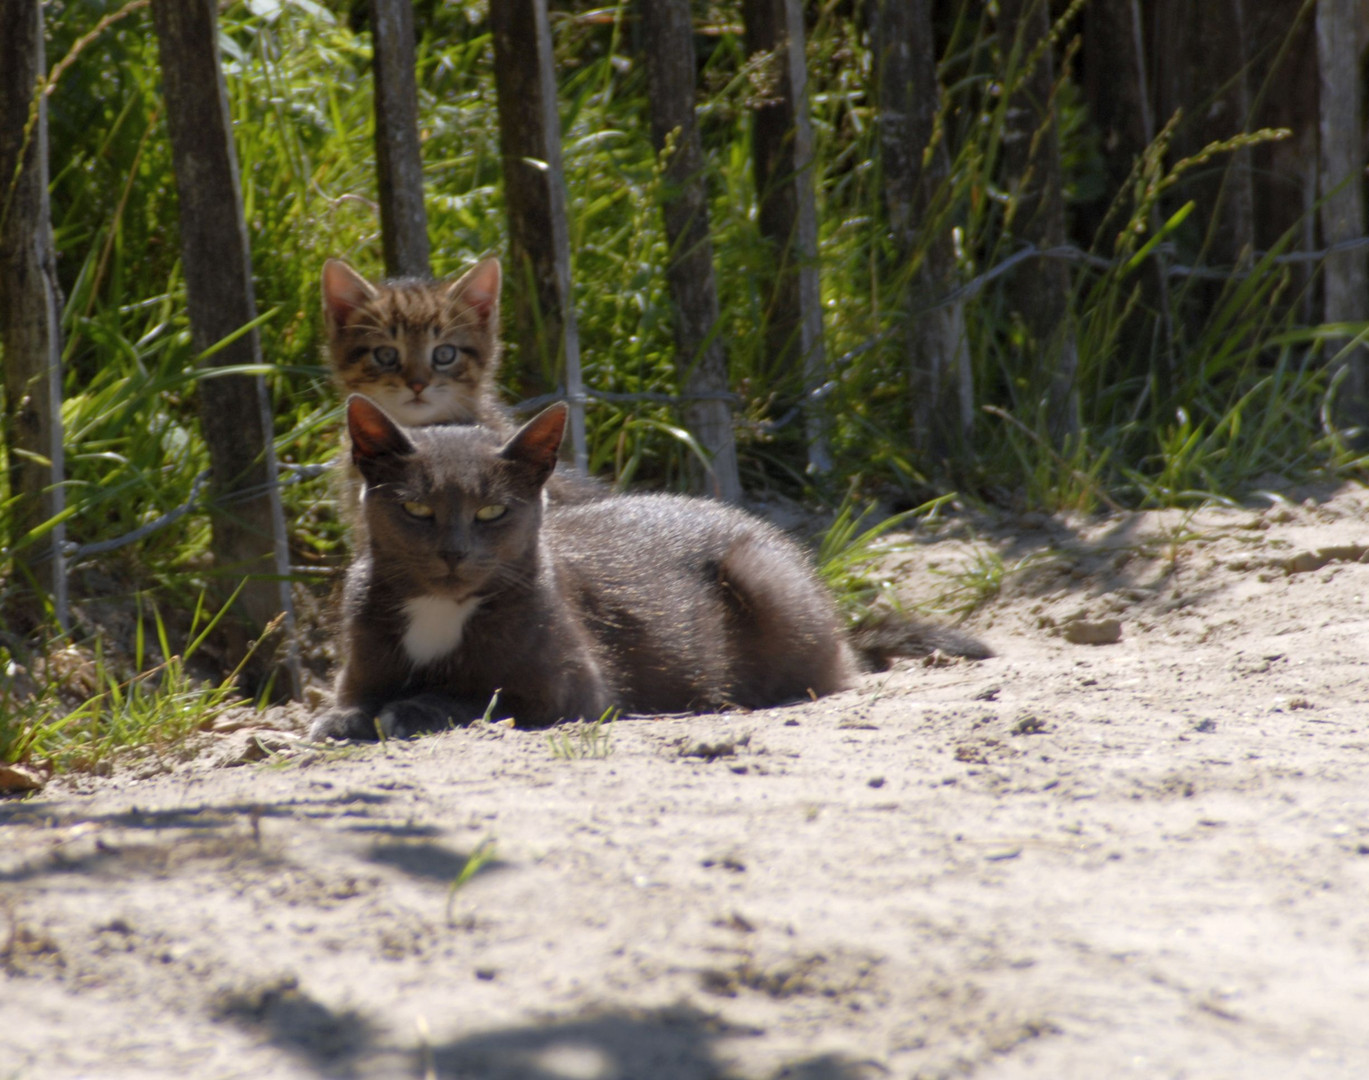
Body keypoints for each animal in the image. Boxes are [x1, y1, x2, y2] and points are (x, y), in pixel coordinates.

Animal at [310, 396, 991, 739]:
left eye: (491, 512)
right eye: (418, 510)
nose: (453, 553)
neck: (438, 610)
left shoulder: (569, 690)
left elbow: (475, 694)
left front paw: (411, 708)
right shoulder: (362, 658)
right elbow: (358, 696)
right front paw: (345, 717)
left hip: (764, 576)